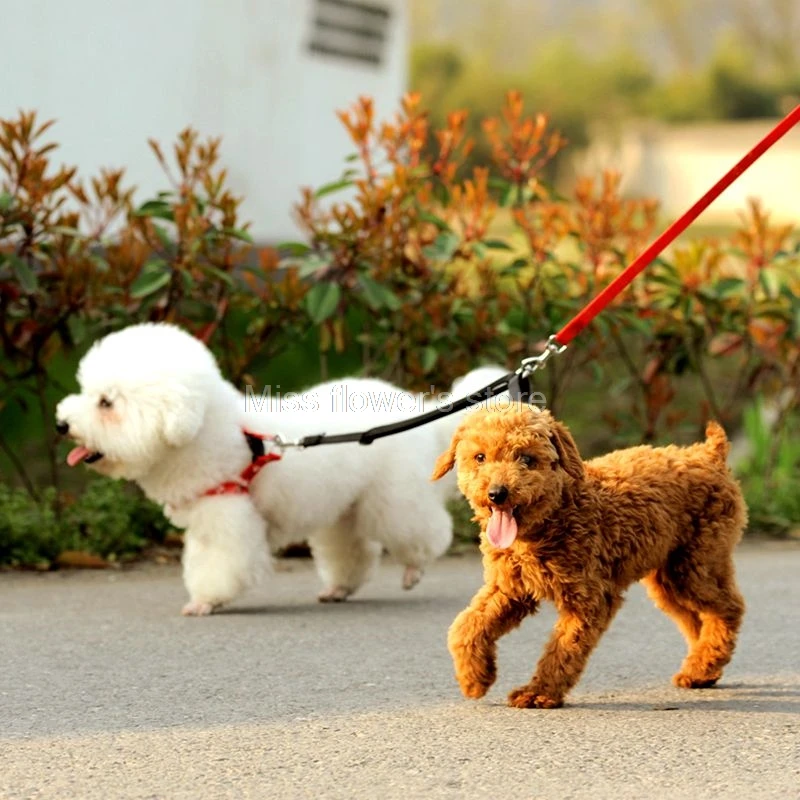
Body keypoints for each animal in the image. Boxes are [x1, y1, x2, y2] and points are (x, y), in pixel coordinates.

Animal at [56, 322, 506, 615]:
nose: (61, 424)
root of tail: (418, 411)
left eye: (106, 402)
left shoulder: (228, 516)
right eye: (86, 391)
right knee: (352, 549)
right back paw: (338, 587)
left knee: (424, 532)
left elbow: (221, 564)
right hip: (344, 507)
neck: (214, 432)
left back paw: (413, 569)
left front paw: (205, 601)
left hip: (394, 497)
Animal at [432, 404, 747, 708]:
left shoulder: (590, 598)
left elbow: (564, 648)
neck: (557, 513)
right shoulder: (509, 589)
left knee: (728, 609)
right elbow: (466, 626)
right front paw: (475, 678)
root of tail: (708, 455)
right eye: (480, 457)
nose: (497, 493)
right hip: (668, 576)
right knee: (697, 618)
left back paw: (704, 664)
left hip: (695, 564)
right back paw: (702, 669)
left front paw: (538, 693)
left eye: (527, 459)